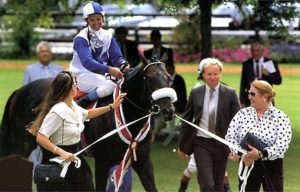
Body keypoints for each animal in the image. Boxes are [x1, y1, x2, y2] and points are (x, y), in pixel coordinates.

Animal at [0, 56, 176, 190]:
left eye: (169, 78)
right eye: (150, 79)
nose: (168, 110)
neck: (126, 116)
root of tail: (19, 91)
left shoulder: (143, 160)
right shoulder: (102, 162)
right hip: (21, 146)